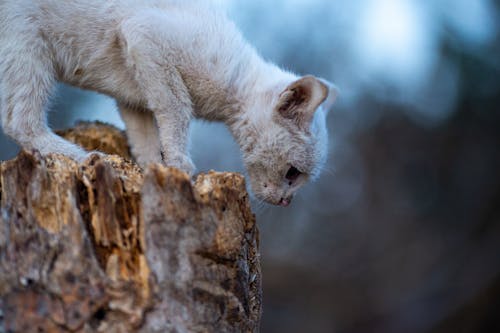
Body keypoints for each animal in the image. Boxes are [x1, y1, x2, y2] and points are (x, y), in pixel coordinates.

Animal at [0, 0, 338, 205]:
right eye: (293, 173)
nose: (286, 201)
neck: (234, 85)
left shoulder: (134, 94)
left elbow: (145, 137)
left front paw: (152, 167)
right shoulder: (146, 36)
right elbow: (176, 110)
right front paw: (179, 165)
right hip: (27, 44)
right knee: (19, 121)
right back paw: (84, 156)